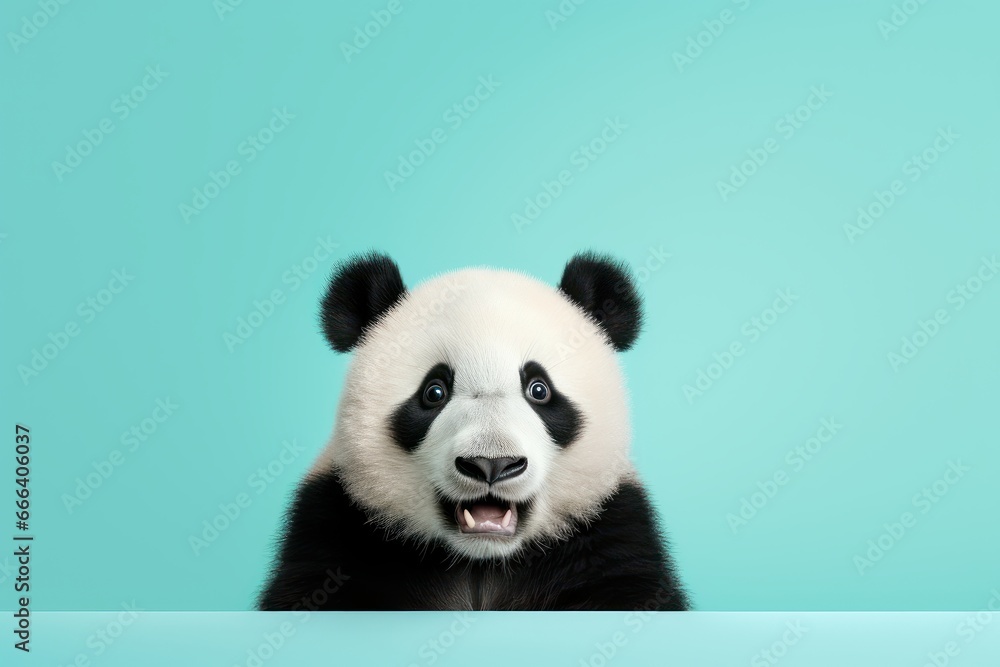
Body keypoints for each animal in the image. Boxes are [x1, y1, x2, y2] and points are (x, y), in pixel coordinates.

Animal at [257, 251, 689, 611]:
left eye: (539, 389)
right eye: (434, 392)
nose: (491, 465)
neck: (481, 562)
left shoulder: (610, 540)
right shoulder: (336, 531)